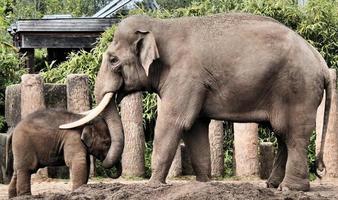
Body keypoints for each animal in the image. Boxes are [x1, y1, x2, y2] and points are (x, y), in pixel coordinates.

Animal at [60, 13, 330, 191]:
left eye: (113, 60)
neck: (160, 26)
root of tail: (321, 61)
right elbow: (195, 127)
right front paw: (204, 183)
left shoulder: (185, 77)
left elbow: (173, 122)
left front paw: (153, 185)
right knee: (283, 135)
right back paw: (272, 185)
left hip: (298, 90)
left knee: (294, 134)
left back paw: (291, 189)